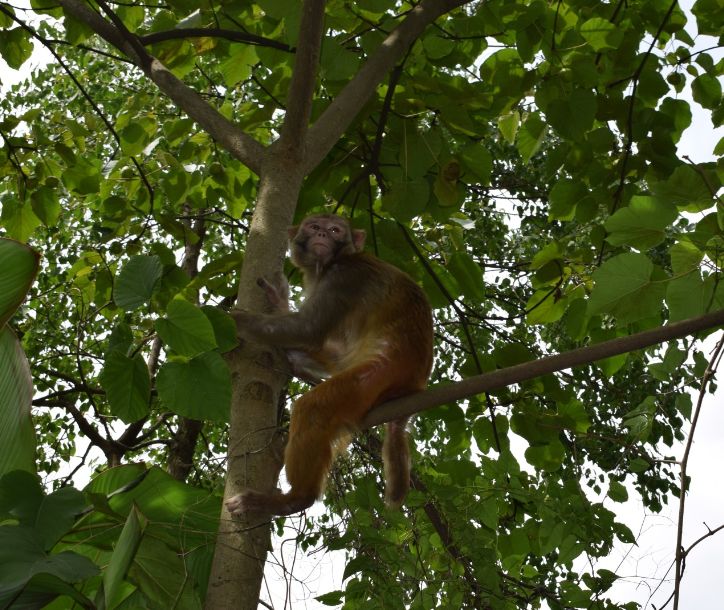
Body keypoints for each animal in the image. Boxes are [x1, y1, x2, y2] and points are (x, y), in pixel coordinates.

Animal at [226, 213, 430, 512]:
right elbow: (323, 340)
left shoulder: (344, 278)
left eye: (335, 230)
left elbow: (309, 329)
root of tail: (418, 382)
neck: (329, 264)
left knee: (314, 409)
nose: (322, 235)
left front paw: (231, 319)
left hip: (378, 375)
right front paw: (278, 302)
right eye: (314, 226)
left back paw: (294, 499)